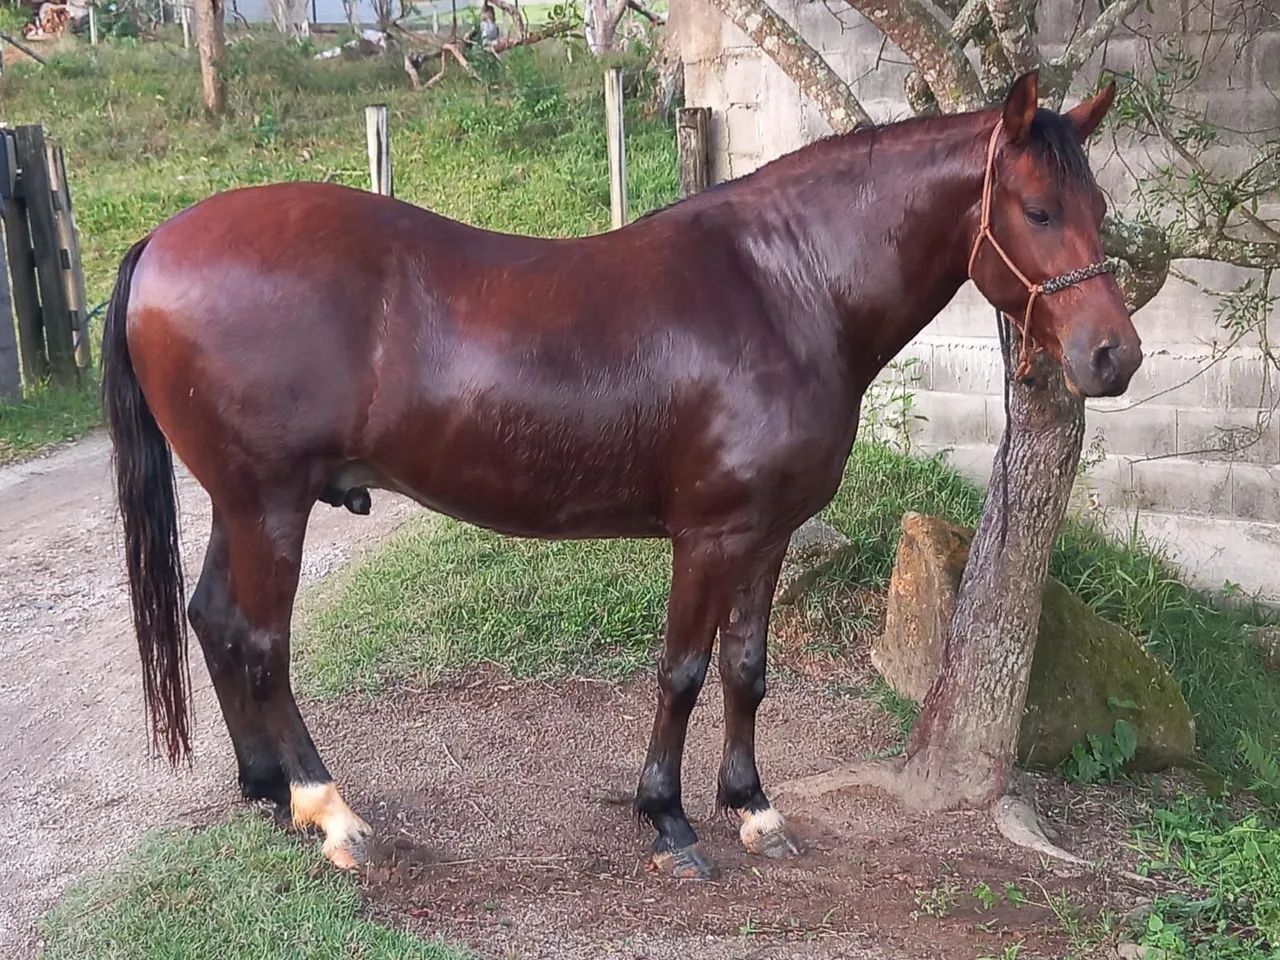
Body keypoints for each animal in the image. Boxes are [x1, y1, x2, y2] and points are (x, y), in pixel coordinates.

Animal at [102, 70, 1141, 880]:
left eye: (1100, 212)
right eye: (1037, 210)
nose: (1115, 357)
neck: (786, 287)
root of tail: (161, 240)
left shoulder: (769, 533)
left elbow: (747, 670)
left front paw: (753, 806)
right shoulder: (709, 534)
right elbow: (681, 671)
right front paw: (669, 820)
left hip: (239, 503)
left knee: (214, 619)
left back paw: (266, 792)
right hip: (271, 504)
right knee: (263, 644)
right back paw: (331, 812)